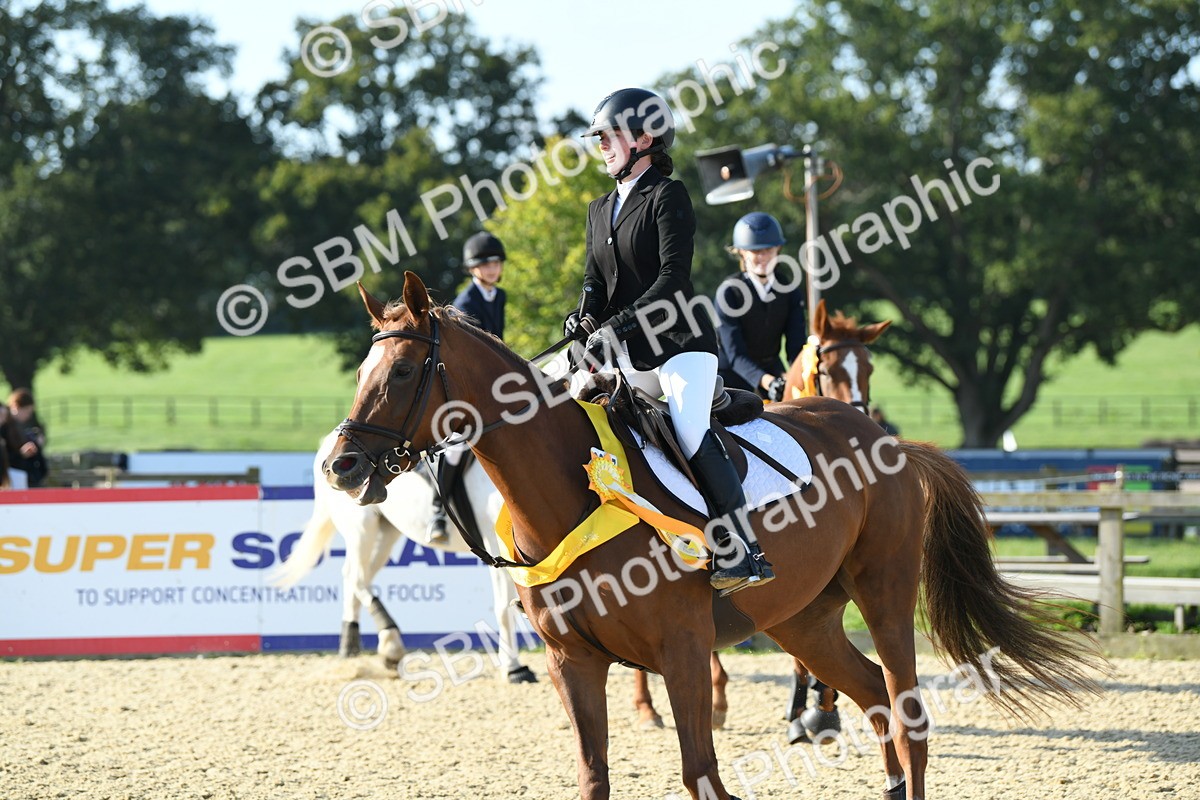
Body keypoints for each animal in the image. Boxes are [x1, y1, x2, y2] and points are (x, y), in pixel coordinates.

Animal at [274, 430, 537, 682]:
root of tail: (328, 444)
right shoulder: (495, 544)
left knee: (357, 577)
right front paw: (513, 669)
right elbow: (504, 607)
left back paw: (351, 648)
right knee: (355, 577)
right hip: (362, 527)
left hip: (386, 532)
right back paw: (390, 644)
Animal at [633, 298, 892, 742]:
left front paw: (821, 707)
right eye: (827, 370)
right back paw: (654, 706)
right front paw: (805, 710)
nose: (866, 422)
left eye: (870, 370)